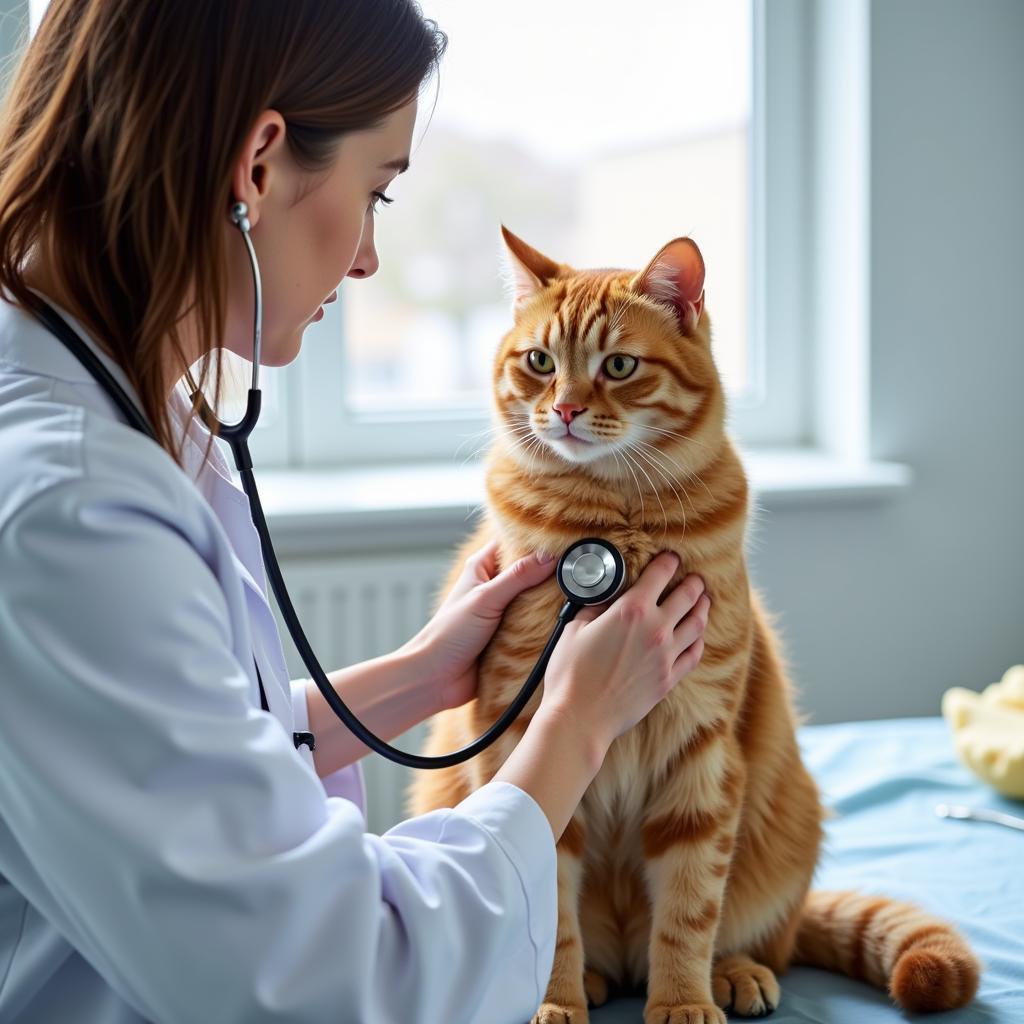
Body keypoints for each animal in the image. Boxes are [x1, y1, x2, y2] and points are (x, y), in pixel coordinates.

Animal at [403, 228, 978, 1019]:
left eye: (618, 366)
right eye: (540, 362)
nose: (566, 411)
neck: (614, 522)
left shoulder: (703, 748)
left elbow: (688, 907)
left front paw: (682, 1001)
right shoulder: (518, 728)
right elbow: (548, 897)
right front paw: (555, 1001)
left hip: (787, 830)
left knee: (755, 936)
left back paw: (734, 974)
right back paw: (590, 981)